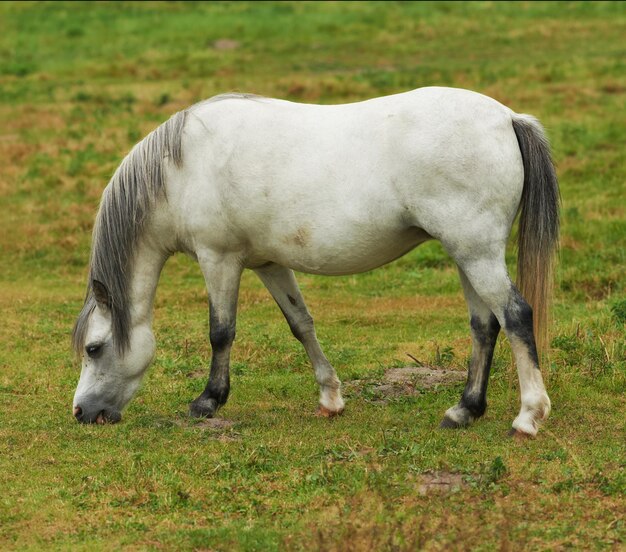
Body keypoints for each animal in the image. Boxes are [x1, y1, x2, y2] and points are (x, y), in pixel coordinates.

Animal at [72, 87, 556, 436]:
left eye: (94, 348)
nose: (81, 412)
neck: (181, 168)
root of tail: (507, 118)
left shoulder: (219, 259)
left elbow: (221, 332)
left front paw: (208, 400)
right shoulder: (269, 264)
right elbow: (301, 324)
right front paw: (331, 399)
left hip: (477, 254)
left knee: (515, 314)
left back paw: (527, 417)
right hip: (467, 255)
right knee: (485, 325)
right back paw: (464, 411)